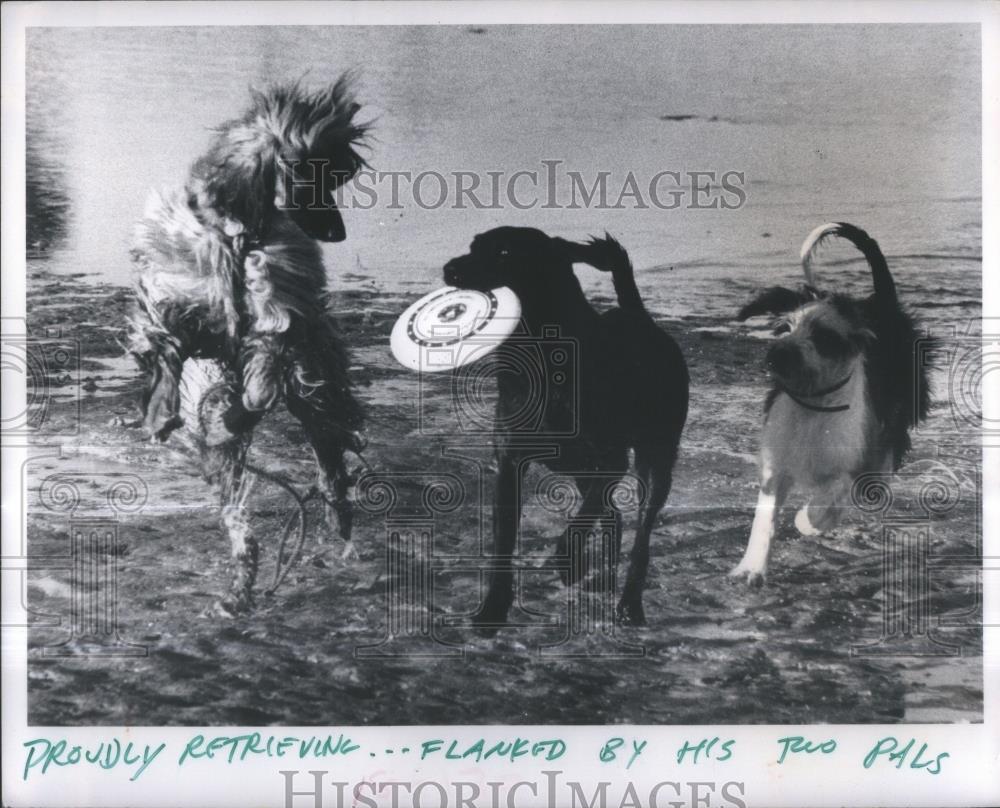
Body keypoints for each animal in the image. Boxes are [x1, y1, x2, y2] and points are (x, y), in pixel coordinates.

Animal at [129, 80, 370, 612]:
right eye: (320, 178)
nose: (340, 232)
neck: (238, 234)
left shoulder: (275, 329)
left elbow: (255, 385)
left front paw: (219, 412)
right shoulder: (189, 308)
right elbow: (168, 350)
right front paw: (166, 411)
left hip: (308, 387)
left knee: (322, 461)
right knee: (255, 518)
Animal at [444, 224, 688, 628]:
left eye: (505, 252)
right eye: (473, 245)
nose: (449, 269)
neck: (541, 352)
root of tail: (639, 316)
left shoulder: (611, 460)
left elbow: (581, 520)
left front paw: (567, 561)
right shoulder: (508, 464)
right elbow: (504, 543)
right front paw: (494, 607)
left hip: (655, 457)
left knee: (641, 530)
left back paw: (629, 602)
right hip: (581, 468)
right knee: (614, 517)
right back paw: (604, 580)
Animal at [728, 223, 928, 588]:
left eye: (823, 336)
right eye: (783, 328)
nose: (779, 354)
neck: (814, 403)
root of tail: (880, 303)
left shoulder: (849, 465)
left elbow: (833, 493)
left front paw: (809, 521)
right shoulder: (776, 464)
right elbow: (764, 519)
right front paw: (751, 567)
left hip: (898, 415)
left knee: (886, 458)